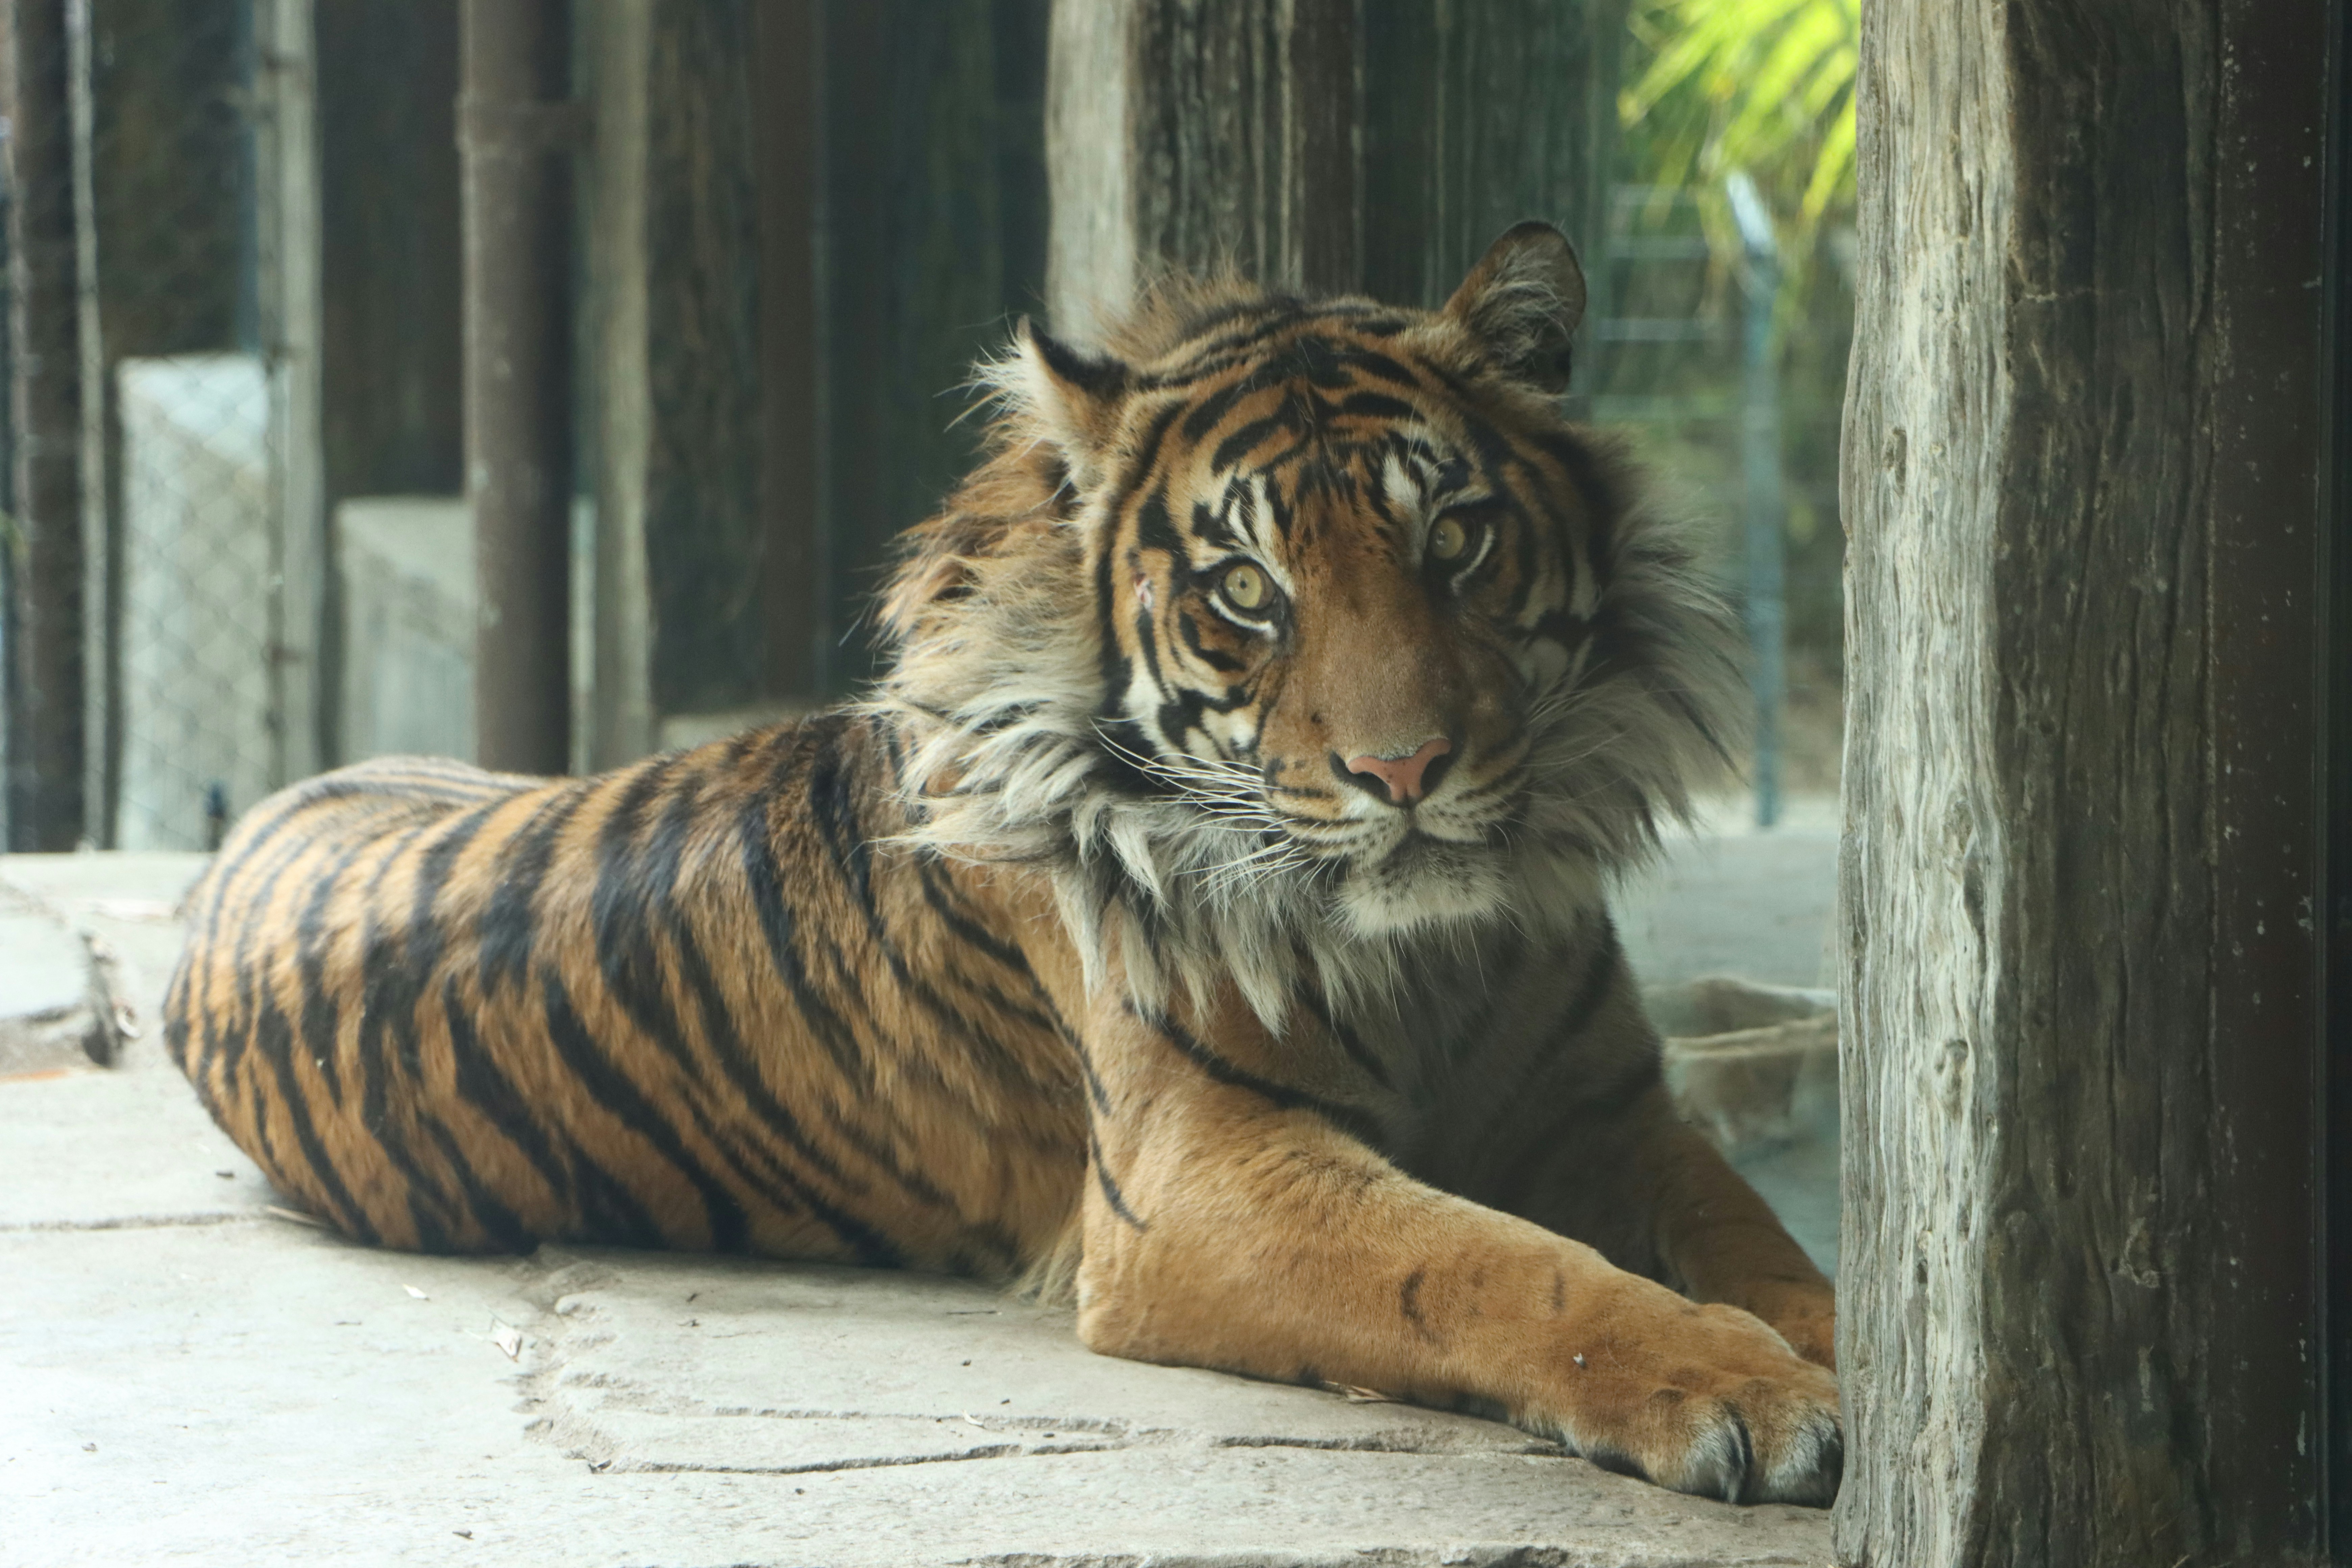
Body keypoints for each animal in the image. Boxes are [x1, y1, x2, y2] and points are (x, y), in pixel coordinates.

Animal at [164, 221, 1841, 1506]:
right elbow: (1512, 1267)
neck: (1442, 953)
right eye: (1248, 589)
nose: (1404, 769)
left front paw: (1834, 1339)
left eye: (1458, 543)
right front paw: (1743, 1389)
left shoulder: (1605, 1105)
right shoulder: (1200, 1177)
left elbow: (1756, 1237)